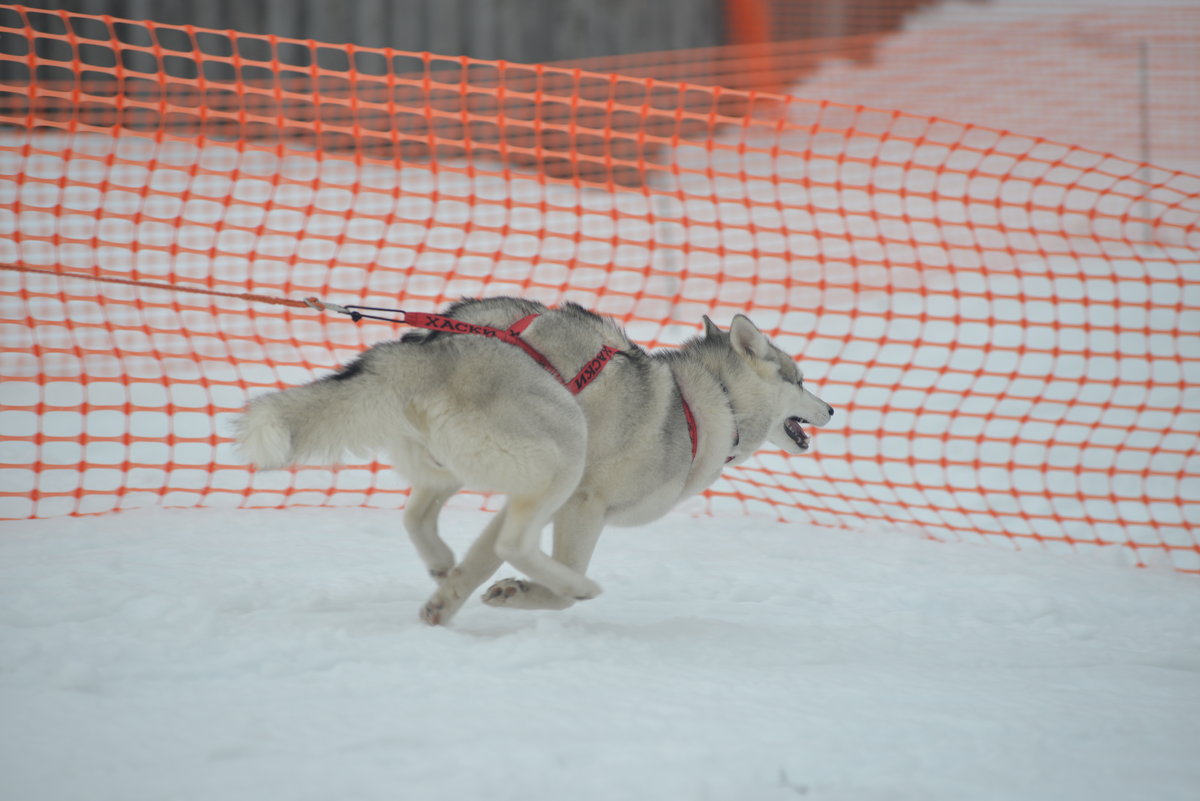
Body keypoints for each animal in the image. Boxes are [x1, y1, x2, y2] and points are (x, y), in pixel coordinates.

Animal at [235, 296, 835, 623]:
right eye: (801, 379)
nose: (831, 408)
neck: (712, 397)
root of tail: (436, 348)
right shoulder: (581, 505)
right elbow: (535, 570)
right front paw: (538, 591)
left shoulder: (526, 498)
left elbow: (481, 557)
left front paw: (448, 603)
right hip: (565, 451)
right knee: (516, 547)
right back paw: (575, 586)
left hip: (460, 466)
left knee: (419, 514)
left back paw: (440, 561)